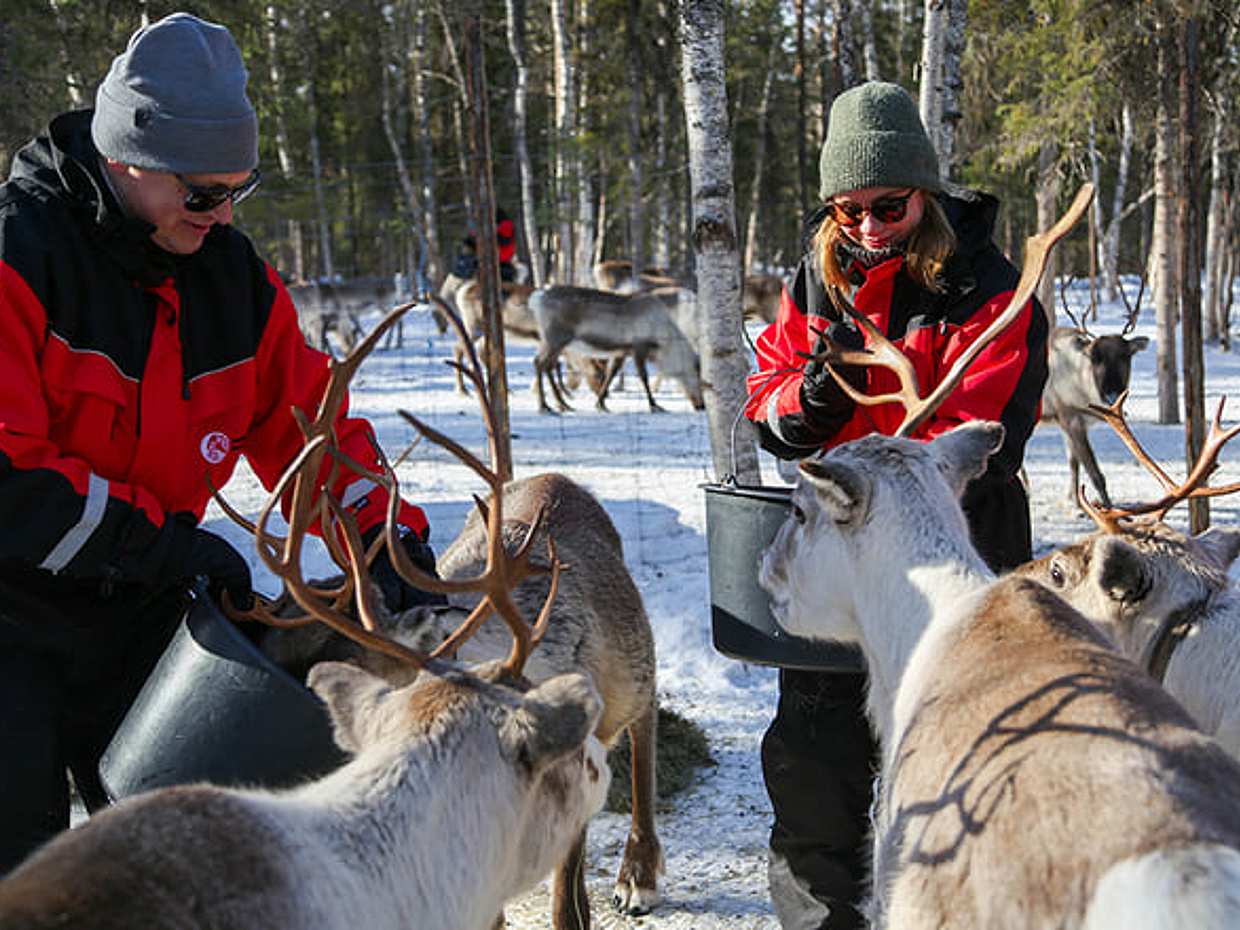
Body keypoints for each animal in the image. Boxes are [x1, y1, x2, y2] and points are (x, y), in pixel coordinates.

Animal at [529, 285, 705, 414]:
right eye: (700, 382)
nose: (702, 406)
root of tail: (537, 298)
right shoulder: (638, 348)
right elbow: (643, 377)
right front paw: (655, 405)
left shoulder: (622, 352)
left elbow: (610, 374)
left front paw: (601, 404)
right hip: (555, 339)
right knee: (539, 363)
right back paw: (544, 406)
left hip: (554, 342)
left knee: (547, 365)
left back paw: (563, 404)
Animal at [1042, 276, 1150, 507]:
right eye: (1094, 358)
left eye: (1125, 356)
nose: (1111, 394)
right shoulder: (1069, 416)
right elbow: (1096, 475)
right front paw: (1107, 509)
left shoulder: (1071, 423)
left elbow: (1074, 464)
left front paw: (1075, 501)